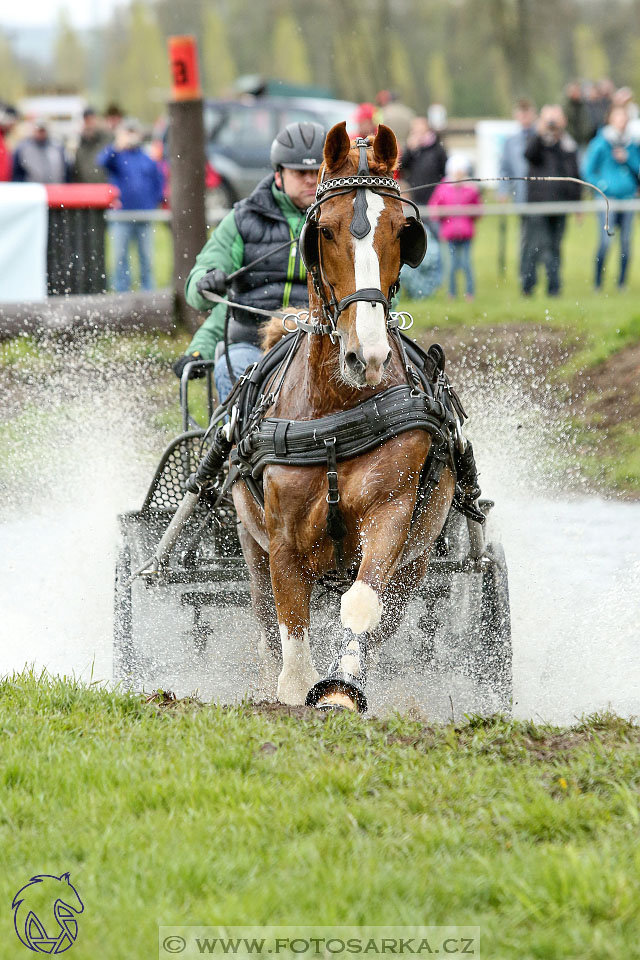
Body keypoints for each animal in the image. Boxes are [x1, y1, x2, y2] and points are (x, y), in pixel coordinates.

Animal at [230, 120, 456, 708]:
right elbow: (291, 638)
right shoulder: (282, 539)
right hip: (250, 545)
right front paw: (293, 693)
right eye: (326, 231)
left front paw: (341, 693)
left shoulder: (391, 514)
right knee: (264, 621)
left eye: (402, 230)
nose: (367, 355)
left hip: (417, 561)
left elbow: (361, 605)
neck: (335, 415)